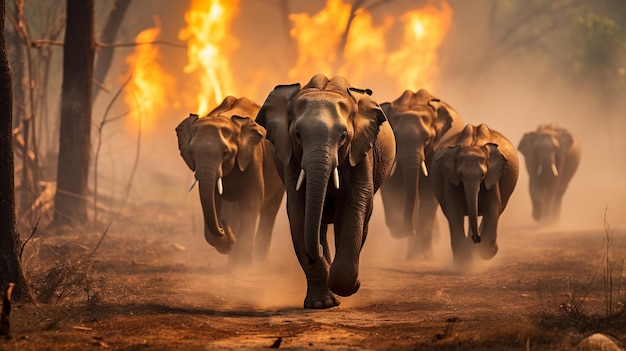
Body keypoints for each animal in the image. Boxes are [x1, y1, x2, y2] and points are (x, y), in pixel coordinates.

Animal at [174, 96, 284, 270]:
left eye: (225, 153)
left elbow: (251, 203)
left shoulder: (252, 158)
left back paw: (260, 264)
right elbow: (213, 202)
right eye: (191, 153)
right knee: (233, 211)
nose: (223, 228)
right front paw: (230, 243)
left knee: (270, 210)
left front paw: (242, 268)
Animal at [255, 73, 392, 308]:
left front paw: (350, 285)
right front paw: (322, 304)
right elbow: (299, 212)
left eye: (344, 136)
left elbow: (355, 206)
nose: (317, 252)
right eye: (298, 135)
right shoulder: (290, 157)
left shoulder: (361, 152)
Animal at [376, 89, 464, 260]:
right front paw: (399, 230)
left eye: (427, 139)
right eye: (397, 138)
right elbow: (390, 187)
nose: (412, 230)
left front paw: (422, 256)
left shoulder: (436, 150)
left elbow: (429, 192)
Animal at [428, 124, 516, 266]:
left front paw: (486, 252)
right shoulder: (450, 178)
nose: (476, 238)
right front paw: (464, 261)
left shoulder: (493, 177)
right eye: (460, 175)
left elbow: (492, 207)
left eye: (482, 175)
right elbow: (454, 210)